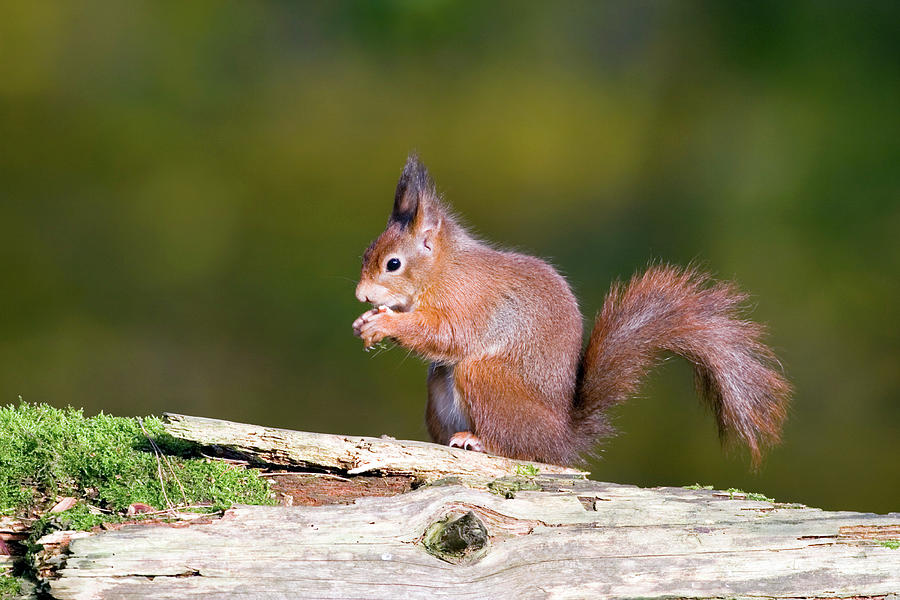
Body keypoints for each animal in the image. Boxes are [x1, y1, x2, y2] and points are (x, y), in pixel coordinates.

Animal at [352, 157, 788, 466]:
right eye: (365, 253)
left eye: (393, 264)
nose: (360, 296)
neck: (443, 269)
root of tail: (560, 439)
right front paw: (364, 323)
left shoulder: (469, 301)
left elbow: (447, 335)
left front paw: (384, 324)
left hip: (485, 379)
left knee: (515, 445)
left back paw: (477, 439)